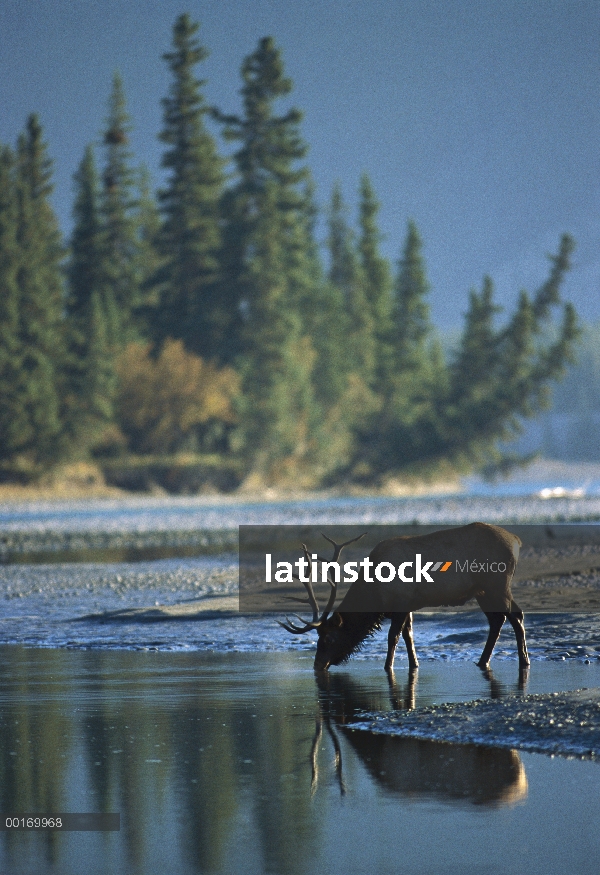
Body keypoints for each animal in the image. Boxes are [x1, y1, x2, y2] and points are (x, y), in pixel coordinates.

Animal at [278, 524, 528, 676]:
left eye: (328, 638)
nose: (317, 665)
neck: (375, 593)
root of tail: (517, 541)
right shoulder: (408, 605)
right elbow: (409, 635)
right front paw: (414, 664)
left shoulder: (399, 602)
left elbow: (393, 638)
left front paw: (387, 666)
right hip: (485, 591)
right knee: (502, 618)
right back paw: (495, 660)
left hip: (496, 585)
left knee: (511, 616)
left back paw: (510, 660)